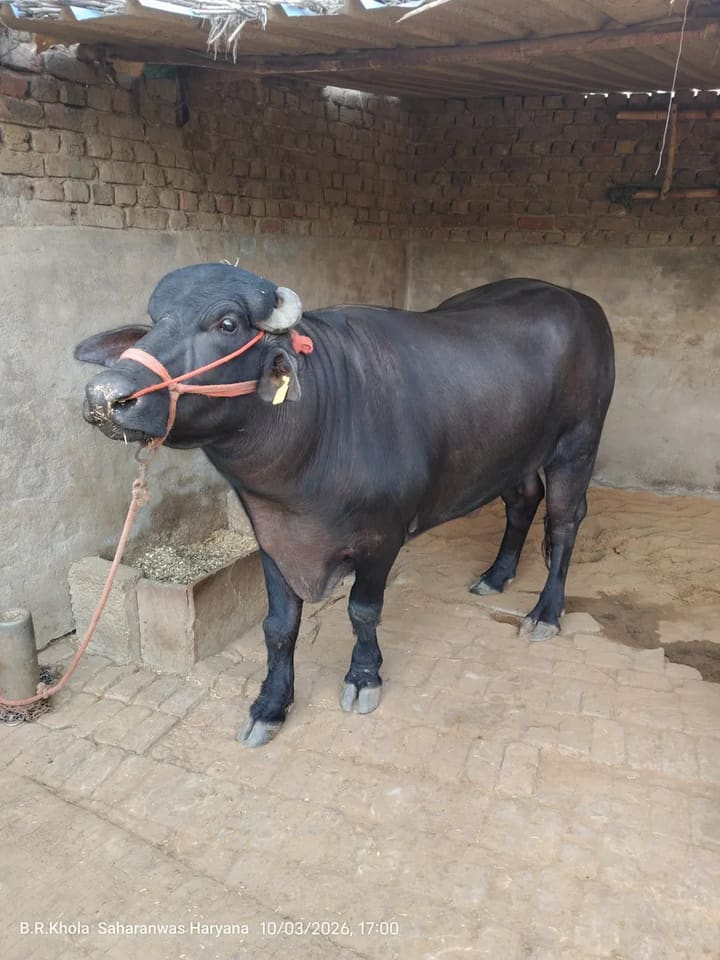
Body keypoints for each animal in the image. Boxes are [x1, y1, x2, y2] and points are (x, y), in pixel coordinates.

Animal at [76, 264, 614, 746]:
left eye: (227, 324)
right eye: (156, 320)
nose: (106, 395)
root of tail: (580, 302)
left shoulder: (382, 537)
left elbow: (363, 611)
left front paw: (363, 677)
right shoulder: (272, 537)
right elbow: (278, 626)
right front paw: (270, 705)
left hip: (577, 444)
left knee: (565, 522)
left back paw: (545, 613)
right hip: (514, 452)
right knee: (523, 502)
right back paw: (496, 575)